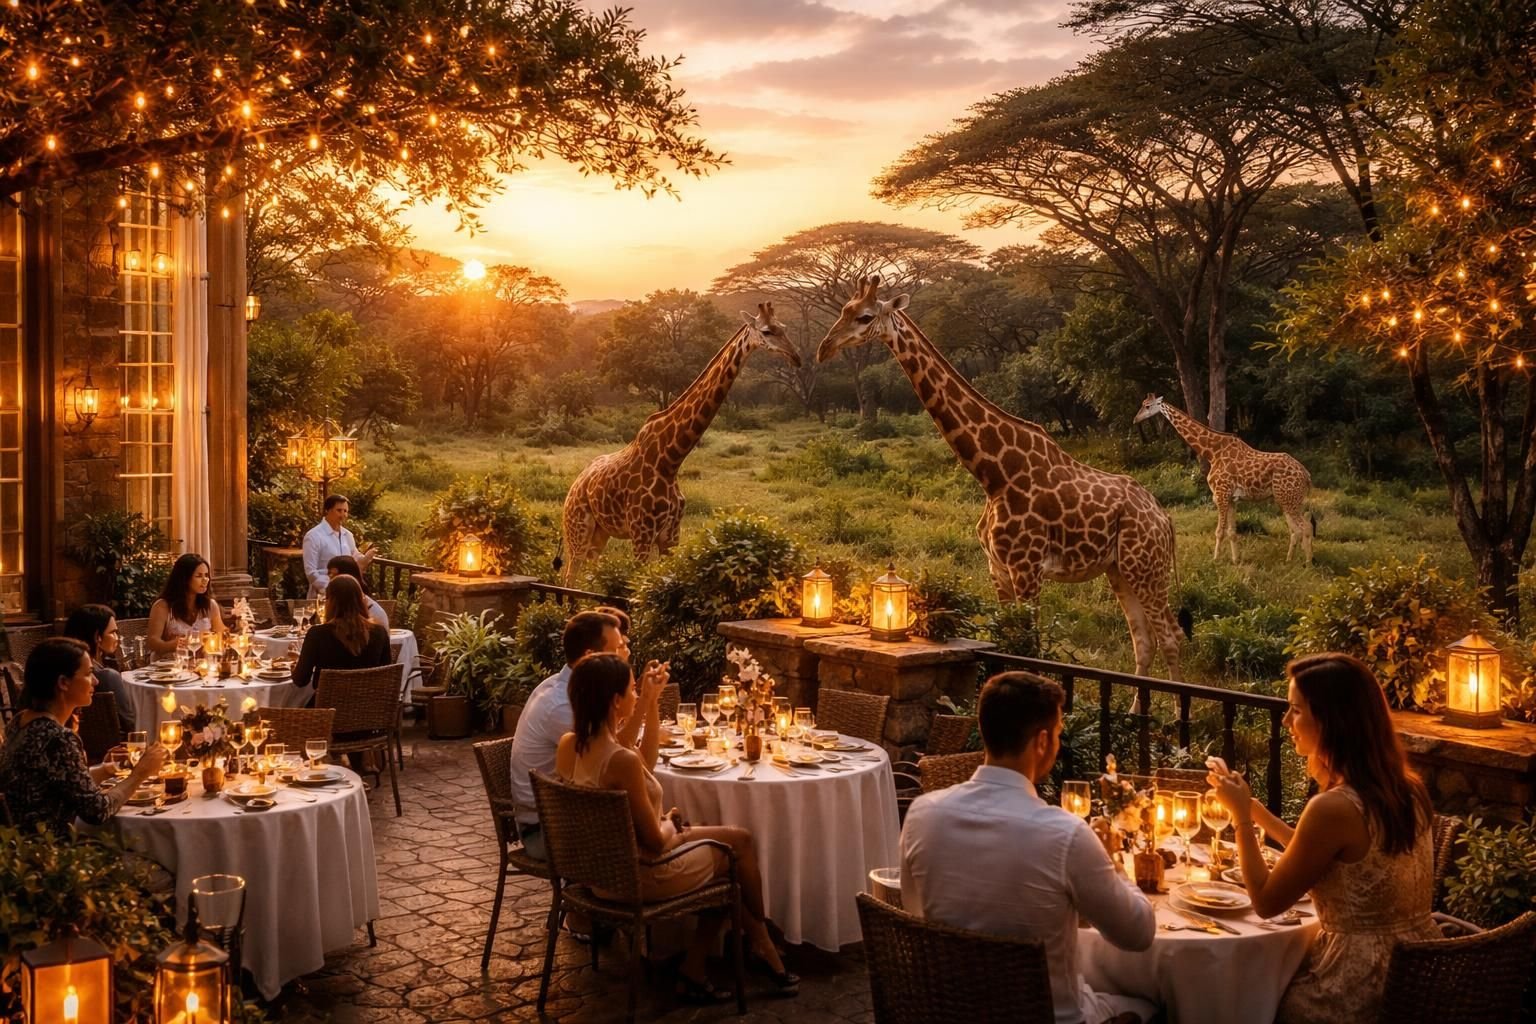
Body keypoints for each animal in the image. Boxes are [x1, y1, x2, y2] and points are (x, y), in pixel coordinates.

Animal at [560, 303, 800, 584]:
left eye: (783, 327)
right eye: (766, 331)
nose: (796, 357)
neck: (670, 459)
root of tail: (575, 484)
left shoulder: (671, 535)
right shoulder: (641, 533)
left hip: (601, 533)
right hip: (577, 527)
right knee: (570, 576)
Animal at [818, 275, 1182, 679]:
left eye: (865, 317)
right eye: (844, 310)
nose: (824, 348)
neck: (993, 473)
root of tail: (1164, 518)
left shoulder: (1027, 568)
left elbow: (1031, 648)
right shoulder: (998, 568)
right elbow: (1009, 644)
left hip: (1146, 567)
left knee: (1170, 637)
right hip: (1120, 570)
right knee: (1143, 640)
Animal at [1133, 395, 1313, 565]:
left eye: (1147, 406)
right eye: (1142, 404)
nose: (1136, 419)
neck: (1212, 452)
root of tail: (1306, 475)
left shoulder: (1220, 494)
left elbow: (1219, 531)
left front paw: (1215, 560)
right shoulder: (1232, 498)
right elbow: (1232, 532)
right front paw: (1235, 560)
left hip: (1288, 499)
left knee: (1305, 527)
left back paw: (1308, 562)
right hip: (1288, 499)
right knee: (1298, 529)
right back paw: (1290, 559)